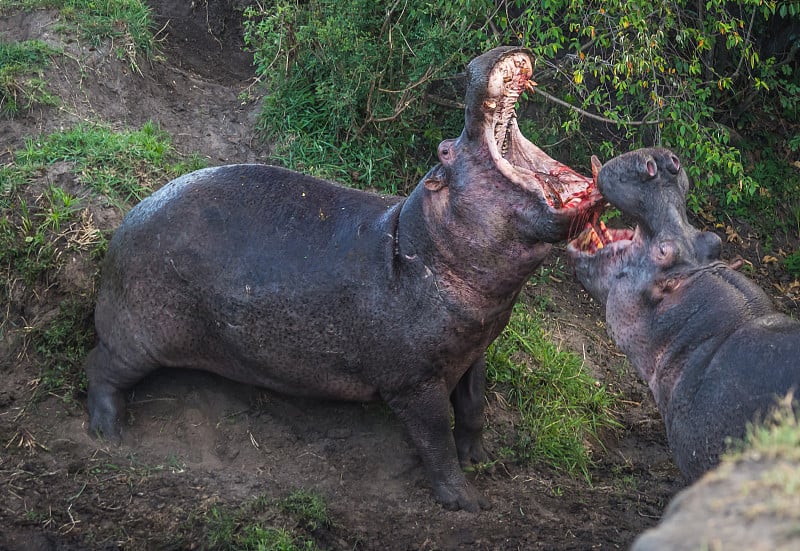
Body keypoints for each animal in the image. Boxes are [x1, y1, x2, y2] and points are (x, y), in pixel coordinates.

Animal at [84, 45, 604, 512]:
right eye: (444, 148)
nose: (478, 60)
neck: (421, 245)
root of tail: (128, 220)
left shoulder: (475, 348)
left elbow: (474, 407)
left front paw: (480, 458)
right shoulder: (414, 383)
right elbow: (435, 438)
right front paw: (466, 501)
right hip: (140, 338)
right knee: (101, 367)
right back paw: (111, 434)